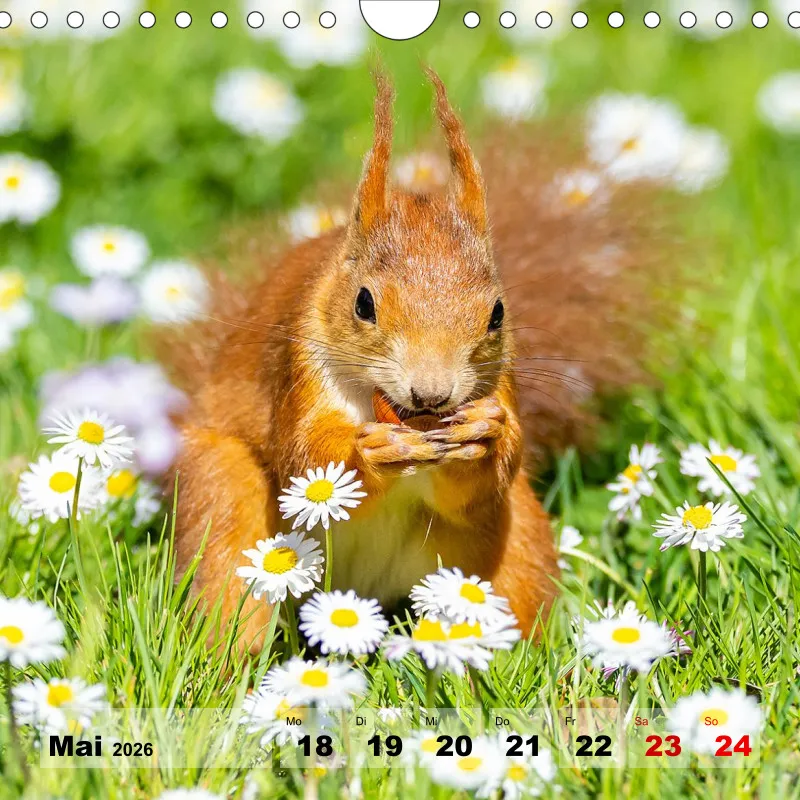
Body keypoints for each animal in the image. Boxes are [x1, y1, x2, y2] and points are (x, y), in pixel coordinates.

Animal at [167, 69, 668, 649]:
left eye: (497, 313)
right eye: (363, 303)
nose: (432, 394)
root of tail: (358, 591)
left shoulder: (498, 382)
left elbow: (486, 479)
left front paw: (486, 437)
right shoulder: (297, 369)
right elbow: (304, 457)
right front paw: (371, 453)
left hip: (514, 541)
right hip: (226, 499)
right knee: (230, 583)